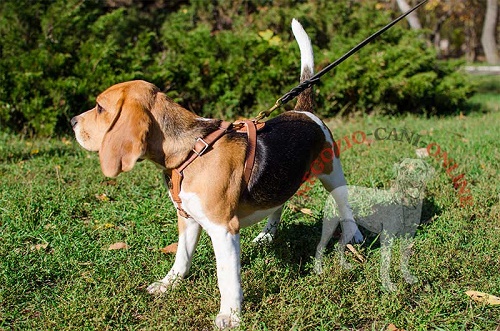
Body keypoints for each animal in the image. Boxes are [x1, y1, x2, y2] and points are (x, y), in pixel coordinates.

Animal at [71, 20, 360, 330]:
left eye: (100, 107)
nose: (72, 121)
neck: (191, 149)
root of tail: (302, 111)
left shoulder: (223, 229)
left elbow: (226, 277)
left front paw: (230, 315)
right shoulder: (187, 218)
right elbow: (182, 258)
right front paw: (168, 284)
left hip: (333, 173)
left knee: (345, 207)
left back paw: (353, 235)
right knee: (278, 203)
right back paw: (266, 235)